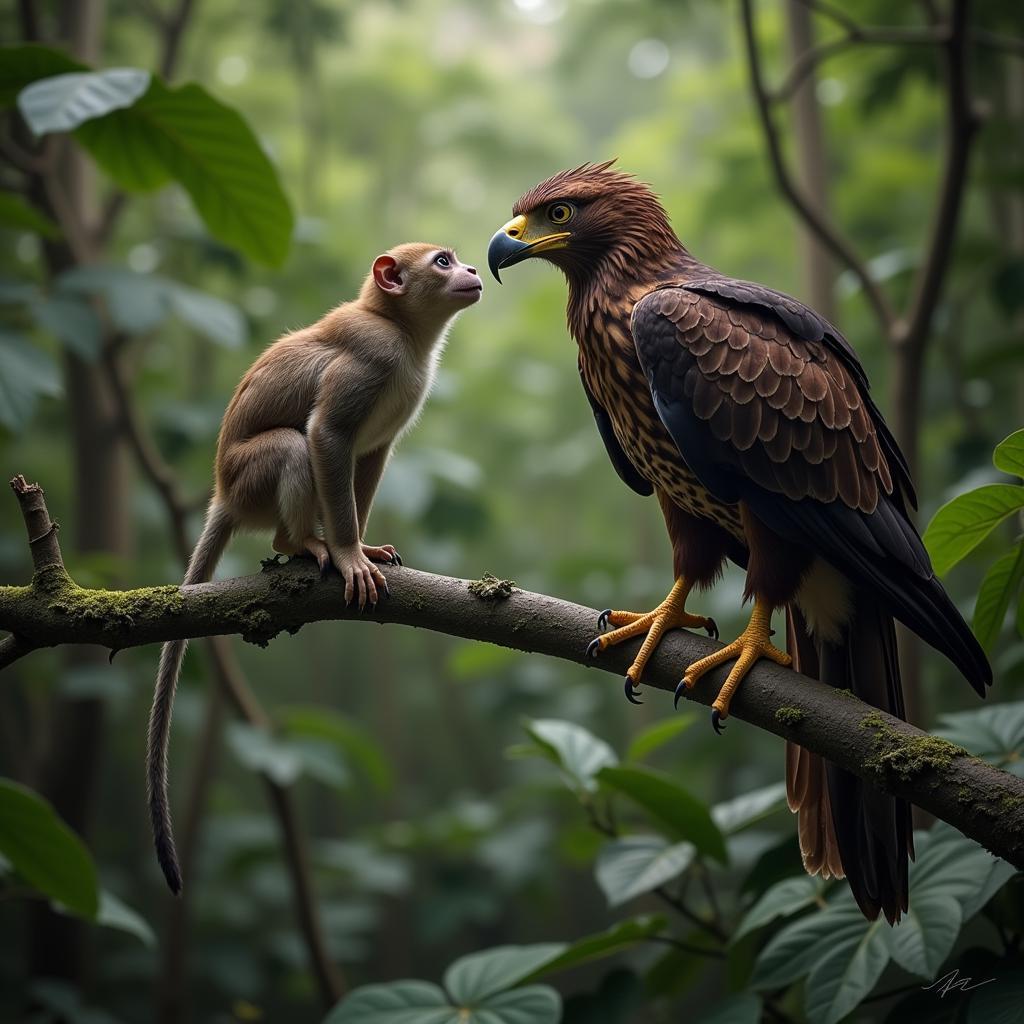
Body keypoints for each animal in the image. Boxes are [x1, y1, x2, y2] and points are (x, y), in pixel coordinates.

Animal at [148, 243, 483, 892]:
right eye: (442, 260)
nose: (474, 270)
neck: (406, 332)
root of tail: (223, 494)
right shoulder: (373, 355)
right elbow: (328, 434)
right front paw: (349, 553)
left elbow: (370, 455)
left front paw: (365, 547)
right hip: (252, 479)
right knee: (291, 445)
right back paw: (304, 542)